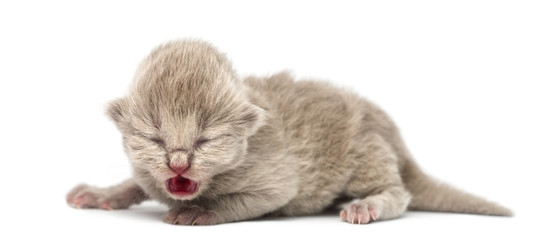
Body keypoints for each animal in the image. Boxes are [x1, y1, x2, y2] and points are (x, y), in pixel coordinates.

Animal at [66, 39, 512, 225]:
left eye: (205, 140)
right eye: (155, 138)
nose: (178, 163)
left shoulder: (274, 177)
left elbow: (256, 199)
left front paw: (200, 211)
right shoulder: (147, 171)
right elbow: (137, 182)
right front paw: (103, 194)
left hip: (365, 150)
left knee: (399, 192)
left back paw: (366, 206)